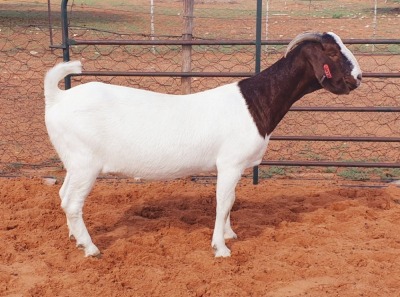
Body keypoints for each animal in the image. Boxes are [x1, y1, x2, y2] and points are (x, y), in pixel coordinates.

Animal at [44, 30, 362, 256]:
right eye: (332, 52)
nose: (358, 78)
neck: (254, 102)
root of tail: (57, 98)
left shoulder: (234, 168)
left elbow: (231, 200)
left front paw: (230, 234)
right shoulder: (230, 163)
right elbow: (223, 201)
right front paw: (221, 247)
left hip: (74, 163)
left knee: (62, 195)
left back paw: (74, 238)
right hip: (85, 163)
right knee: (72, 202)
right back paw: (90, 248)